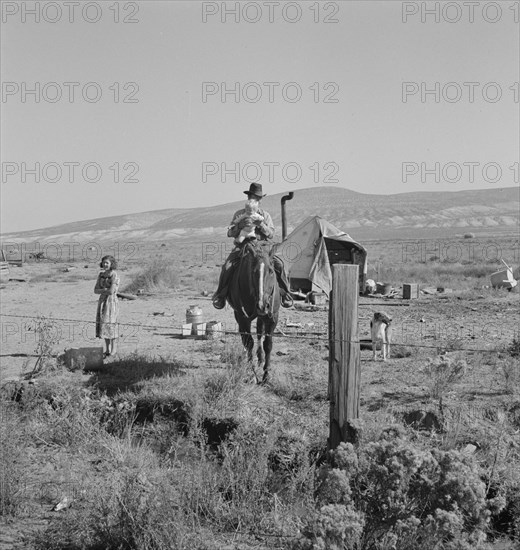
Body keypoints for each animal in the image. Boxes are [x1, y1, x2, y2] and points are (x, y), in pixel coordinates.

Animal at [228, 239, 280, 386]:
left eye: (271, 271)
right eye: (253, 272)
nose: (262, 305)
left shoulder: (272, 318)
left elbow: (268, 344)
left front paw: (266, 376)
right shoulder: (242, 318)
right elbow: (248, 342)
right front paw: (252, 375)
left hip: (262, 317)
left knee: (259, 333)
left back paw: (260, 358)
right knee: (246, 339)